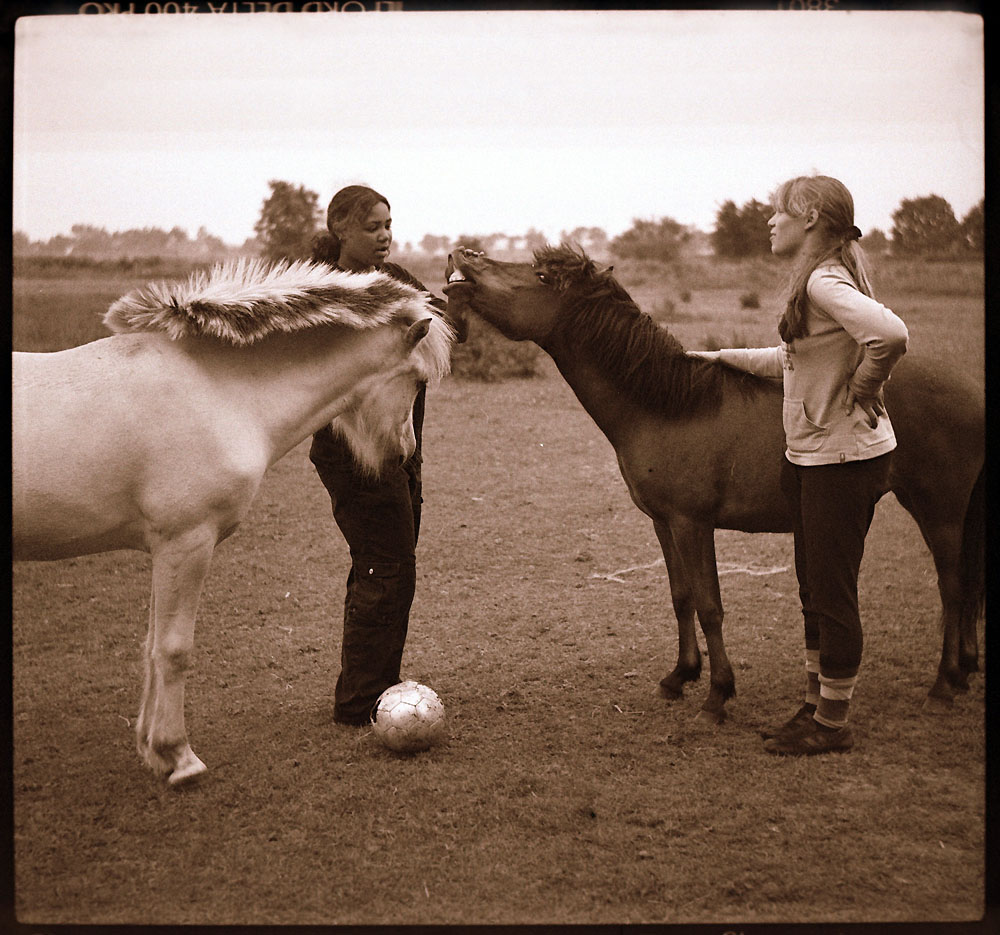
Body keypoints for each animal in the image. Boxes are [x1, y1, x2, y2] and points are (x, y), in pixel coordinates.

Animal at [10, 260, 458, 788]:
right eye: (417, 379)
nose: (403, 454)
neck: (217, 391)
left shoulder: (162, 550)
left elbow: (151, 646)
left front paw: (153, 750)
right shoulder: (186, 543)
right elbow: (174, 650)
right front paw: (179, 757)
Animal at [446, 243, 984, 724]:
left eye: (541, 277)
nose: (462, 255)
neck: (667, 407)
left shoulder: (692, 523)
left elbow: (709, 606)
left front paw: (717, 695)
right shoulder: (663, 522)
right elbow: (680, 596)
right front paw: (679, 676)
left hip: (938, 510)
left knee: (953, 587)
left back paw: (942, 686)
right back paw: (962, 672)